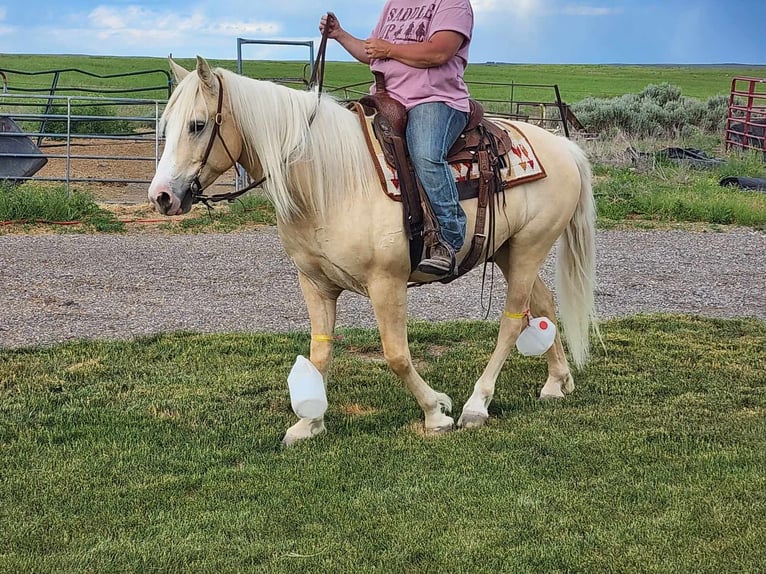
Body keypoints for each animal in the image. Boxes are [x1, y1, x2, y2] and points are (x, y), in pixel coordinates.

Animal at [148, 57, 600, 446]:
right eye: (167, 125)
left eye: (197, 125)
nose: (162, 197)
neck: (330, 182)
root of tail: (564, 149)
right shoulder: (315, 283)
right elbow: (320, 350)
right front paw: (309, 422)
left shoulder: (387, 283)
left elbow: (396, 354)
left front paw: (436, 412)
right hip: (507, 251)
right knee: (542, 305)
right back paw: (557, 381)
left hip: (528, 249)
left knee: (512, 321)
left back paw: (477, 404)